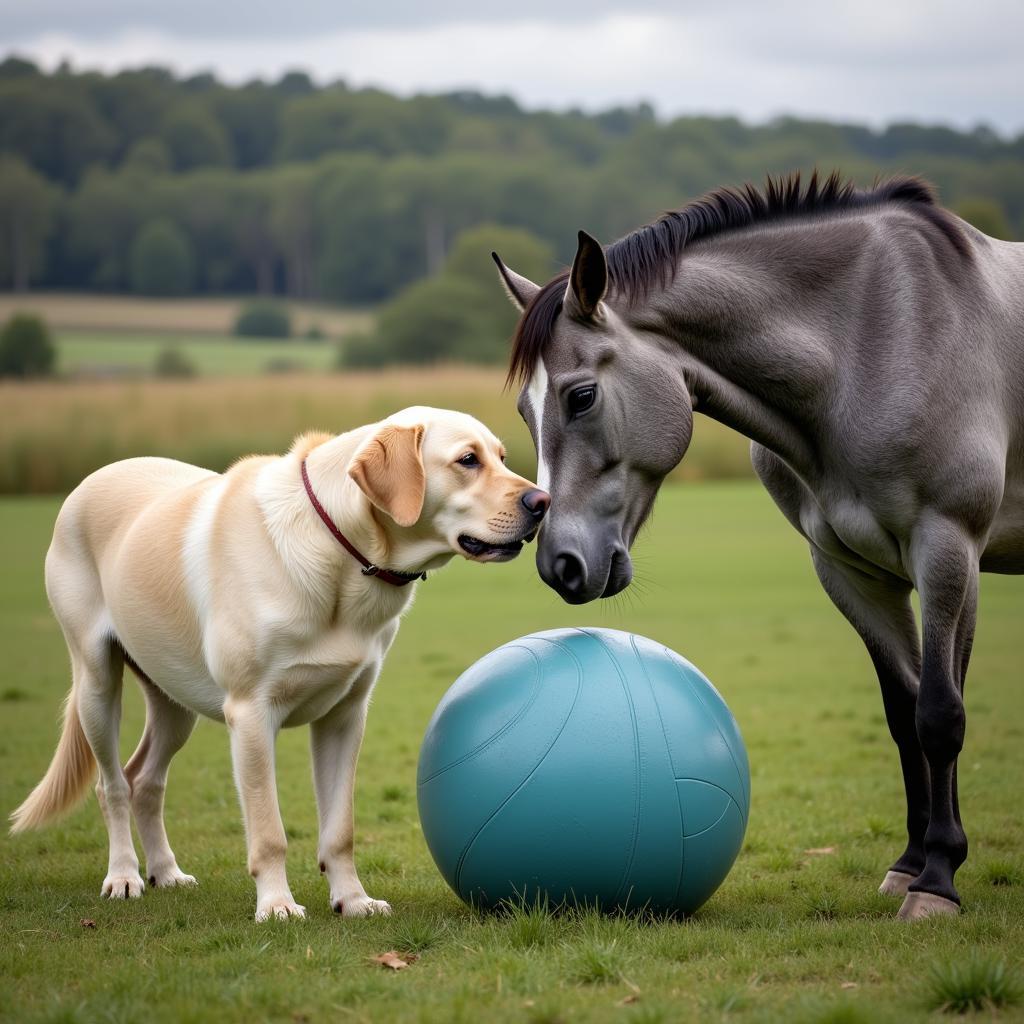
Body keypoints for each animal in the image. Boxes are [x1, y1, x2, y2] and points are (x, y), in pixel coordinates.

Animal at [9, 405, 552, 921]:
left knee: (144, 779)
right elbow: (269, 832)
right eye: (468, 460)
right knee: (112, 784)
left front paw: (353, 900)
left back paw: (166, 872)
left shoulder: (344, 716)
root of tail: (93, 477)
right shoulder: (251, 714)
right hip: (97, 685)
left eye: (502, 457)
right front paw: (276, 906)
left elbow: (340, 829)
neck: (340, 552)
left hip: (174, 703)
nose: (543, 501)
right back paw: (123, 876)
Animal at [491, 172, 1019, 925]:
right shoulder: (852, 570)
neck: (870, 342)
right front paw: (910, 863)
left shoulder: (948, 551)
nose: (559, 565)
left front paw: (938, 880)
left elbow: (941, 714)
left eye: (582, 396)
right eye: (524, 412)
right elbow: (903, 713)